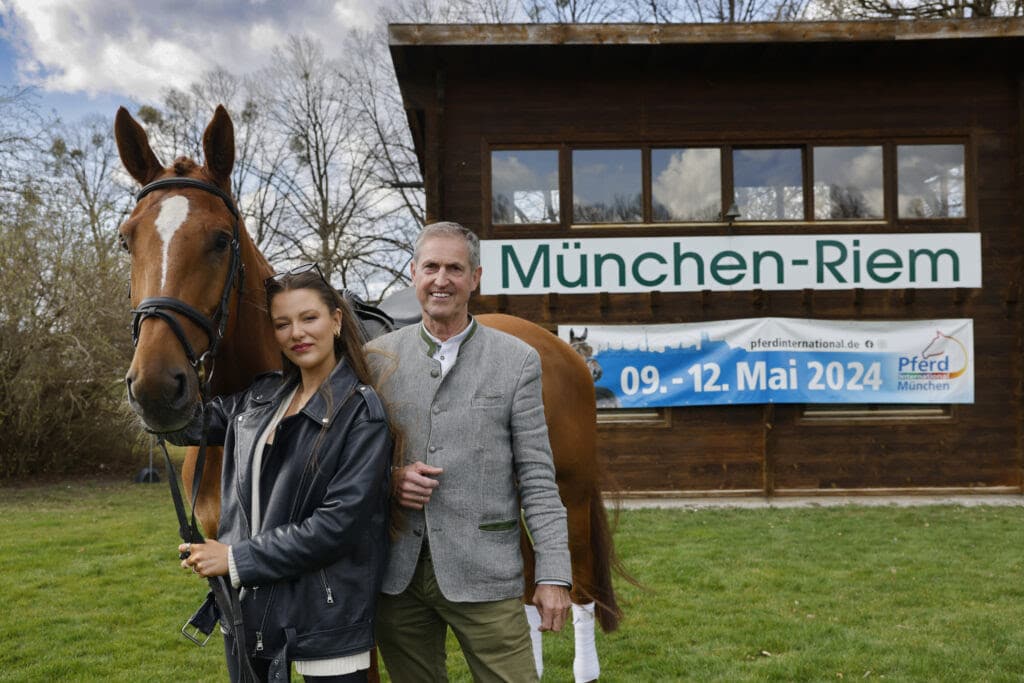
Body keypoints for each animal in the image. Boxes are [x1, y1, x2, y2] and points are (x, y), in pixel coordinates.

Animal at [116, 104, 618, 679]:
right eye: (127, 239)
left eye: (221, 239)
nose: (156, 387)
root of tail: (559, 350)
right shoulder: (230, 602)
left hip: (568, 497)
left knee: (573, 591)